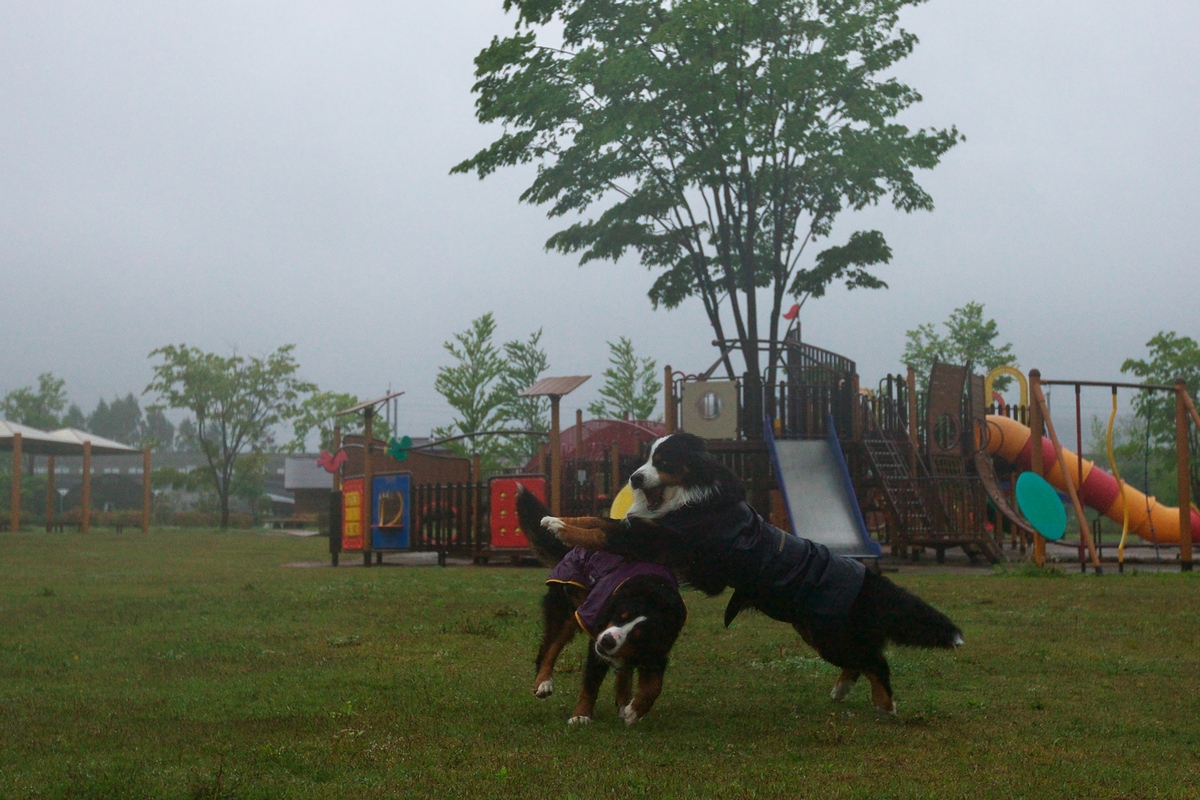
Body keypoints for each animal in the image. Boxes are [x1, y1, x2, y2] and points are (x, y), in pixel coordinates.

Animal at [520, 484, 691, 729]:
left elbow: (654, 686)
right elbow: (591, 683)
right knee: (549, 648)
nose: (608, 640)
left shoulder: (657, 650)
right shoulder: (596, 637)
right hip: (567, 612)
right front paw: (581, 715)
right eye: (621, 615)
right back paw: (543, 681)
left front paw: (634, 710)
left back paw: (624, 699)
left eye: (639, 635)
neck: (653, 595)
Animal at [530, 434, 960, 714]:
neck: (690, 496)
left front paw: (557, 526)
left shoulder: (655, 539)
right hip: (818, 631)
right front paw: (553, 519)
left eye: (663, 461)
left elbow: (603, 529)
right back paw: (843, 689)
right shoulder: (646, 528)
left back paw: (885, 705)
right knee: (863, 658)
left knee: (877, 660)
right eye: (646, 458)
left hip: (828, 632)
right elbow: (598, 519)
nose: (634, 477)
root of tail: (869, 577)